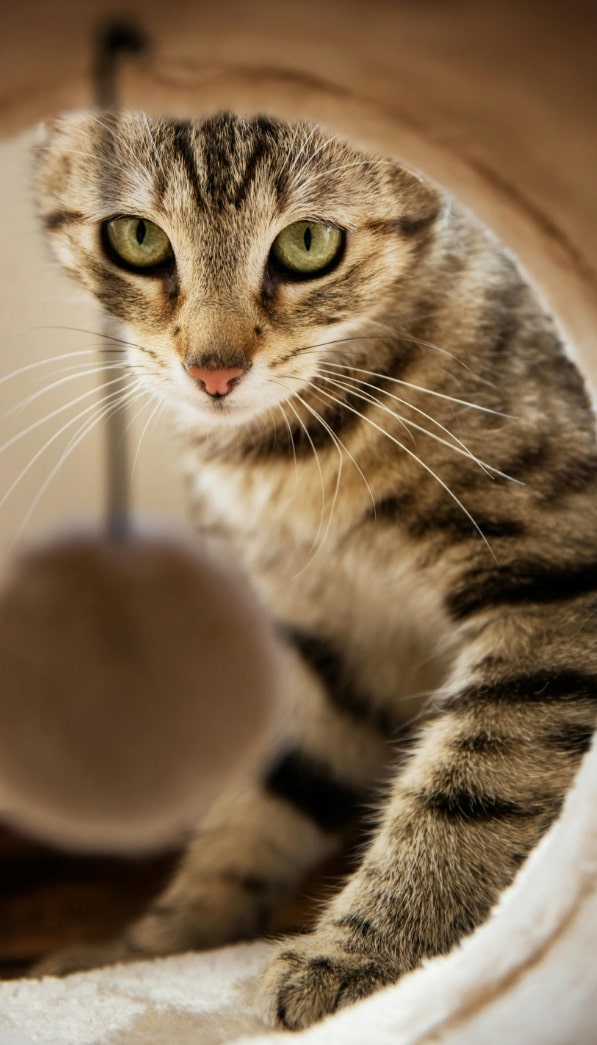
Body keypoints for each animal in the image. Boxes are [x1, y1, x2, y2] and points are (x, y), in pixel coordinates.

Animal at [31, 110, 597, 1024]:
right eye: (137, 237)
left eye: (306, 244)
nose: (213, 371)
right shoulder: (330, 641)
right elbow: (261, 797)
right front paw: (151, 946)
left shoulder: (551, 588)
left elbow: (471, 783)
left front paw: (371, 958)